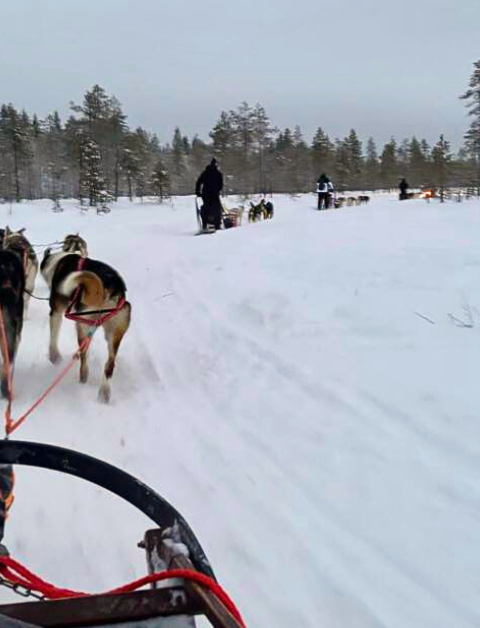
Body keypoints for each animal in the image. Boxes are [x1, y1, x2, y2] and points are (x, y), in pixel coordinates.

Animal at [41, 236, 130, 402]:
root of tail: (109, 285)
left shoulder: (56, 312)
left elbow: (53, 337)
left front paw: (54, 356)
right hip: (113, 331)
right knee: (109, 364)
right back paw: (104, 392)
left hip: (81, 324)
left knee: (84, 356)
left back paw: (83, 376)